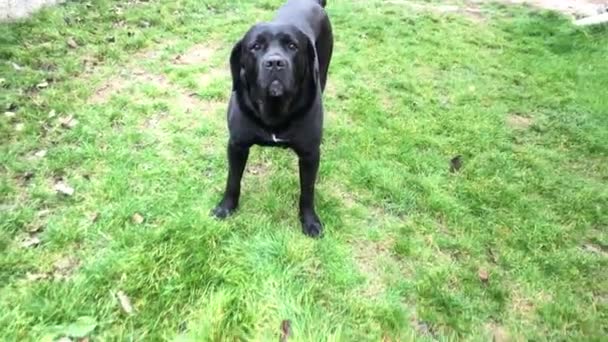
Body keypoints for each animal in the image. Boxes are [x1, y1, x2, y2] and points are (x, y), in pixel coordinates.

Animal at [213, 0, 332, 236]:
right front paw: (226, 207)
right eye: (255, 47)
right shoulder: (237, 145)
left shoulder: (310, 154)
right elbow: (233, 180)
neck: (275, 109)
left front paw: (310, 221)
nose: (275, 62)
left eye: (293, 46)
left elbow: (307, 191)